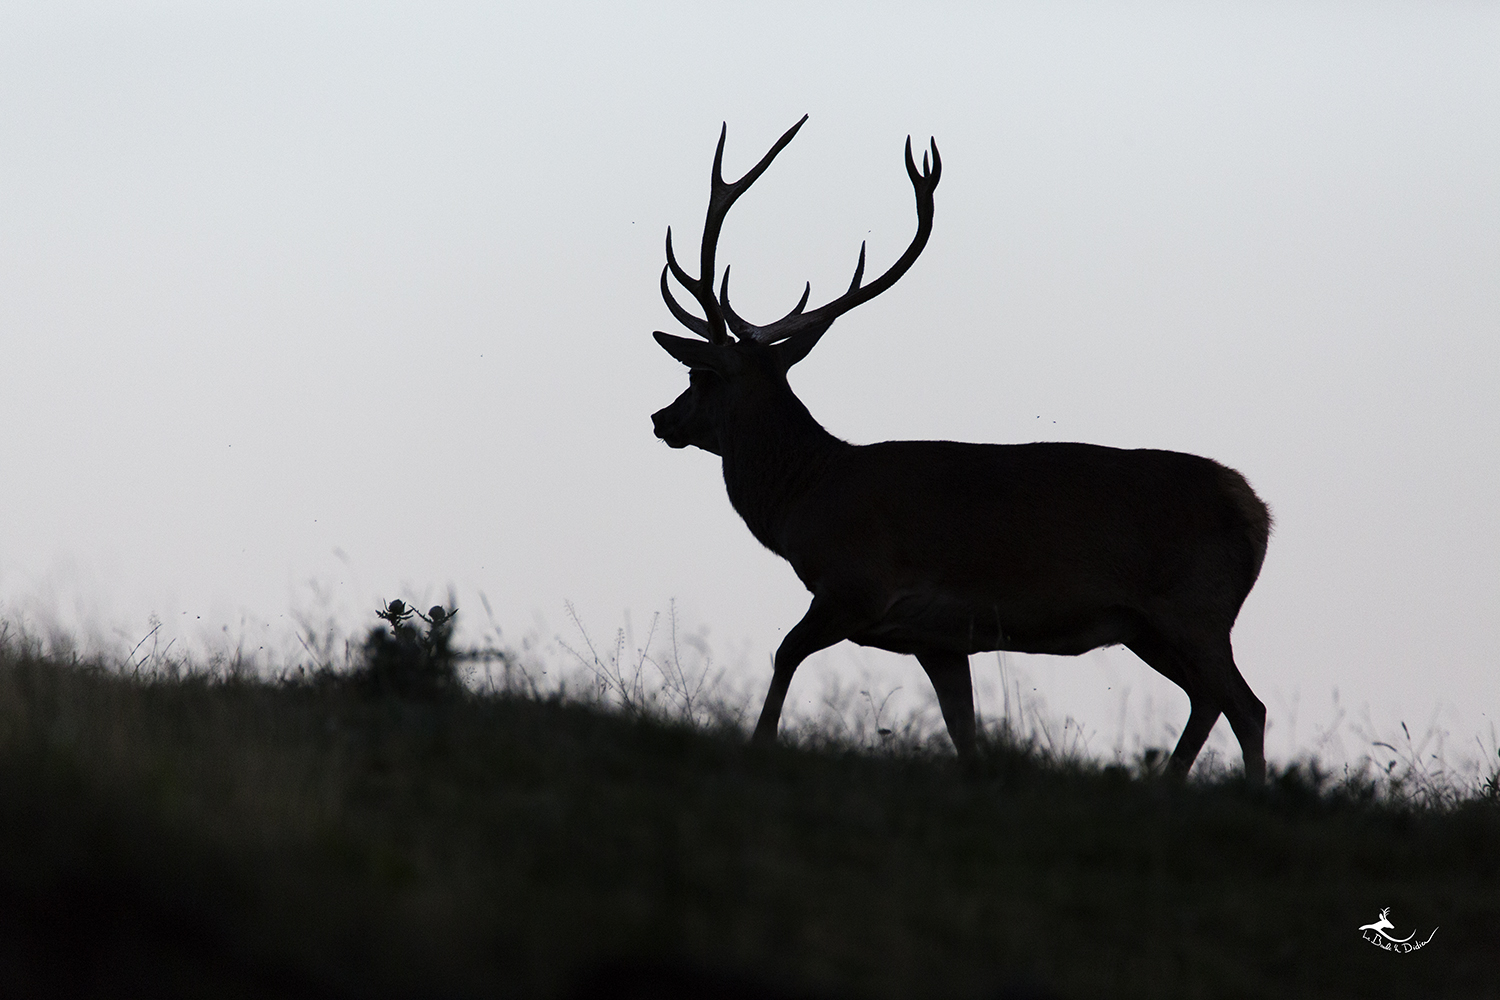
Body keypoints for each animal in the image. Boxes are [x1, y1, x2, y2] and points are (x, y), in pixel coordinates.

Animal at [651, 117, 1272, 785]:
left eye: (698, 376)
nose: (661, 418)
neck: (805, 498)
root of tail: (1256, 511)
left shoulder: (855, 584)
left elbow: (785, 652)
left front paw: (760, 743)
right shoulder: (940, 638)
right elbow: (962, 731)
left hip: (1195, 608)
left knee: (1245, 705)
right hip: (1149, 626)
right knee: (1210, 700)